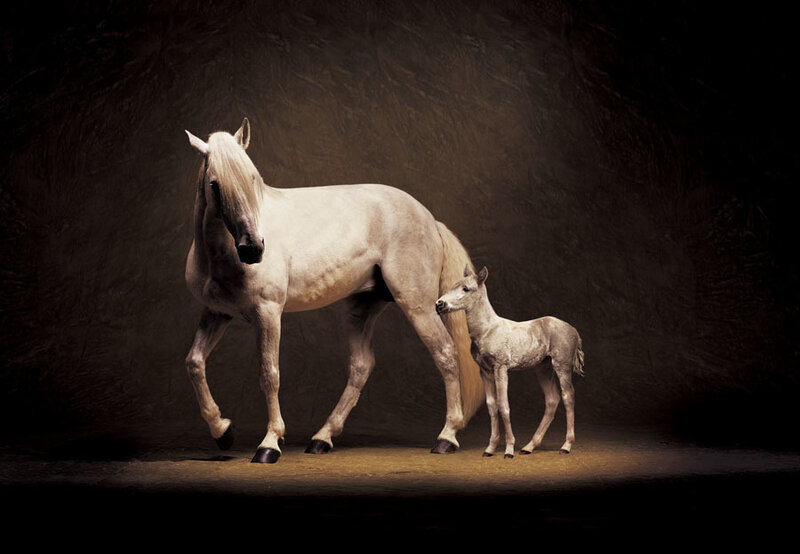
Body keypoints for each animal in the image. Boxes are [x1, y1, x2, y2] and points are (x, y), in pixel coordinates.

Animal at [182, 118, 483, 463]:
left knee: (445, 353)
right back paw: (322, 438)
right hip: (362, 305)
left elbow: (269, 374)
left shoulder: (268, 313)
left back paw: (447, 437)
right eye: (215, 185)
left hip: (417, 303)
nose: (253, 249)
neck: (220, 257)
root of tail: (430, 219)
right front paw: (222, 431)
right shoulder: (217, 312)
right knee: (361, 365)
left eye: (252, 178)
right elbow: (194, 363)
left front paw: (269, 444)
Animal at [435, 265, 584, 458]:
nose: (439, 304)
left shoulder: (501, 368)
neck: (488, 330)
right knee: (552, 399)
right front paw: (490, 448)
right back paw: (529, 447)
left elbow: (503, 405)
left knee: (568, 397)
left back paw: (566, 446)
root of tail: (573, 330)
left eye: (466, 289)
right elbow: (492, 406)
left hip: (562, 366)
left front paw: (509, 449)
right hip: (543, 368)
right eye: (453, 285)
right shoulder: (485, 371)